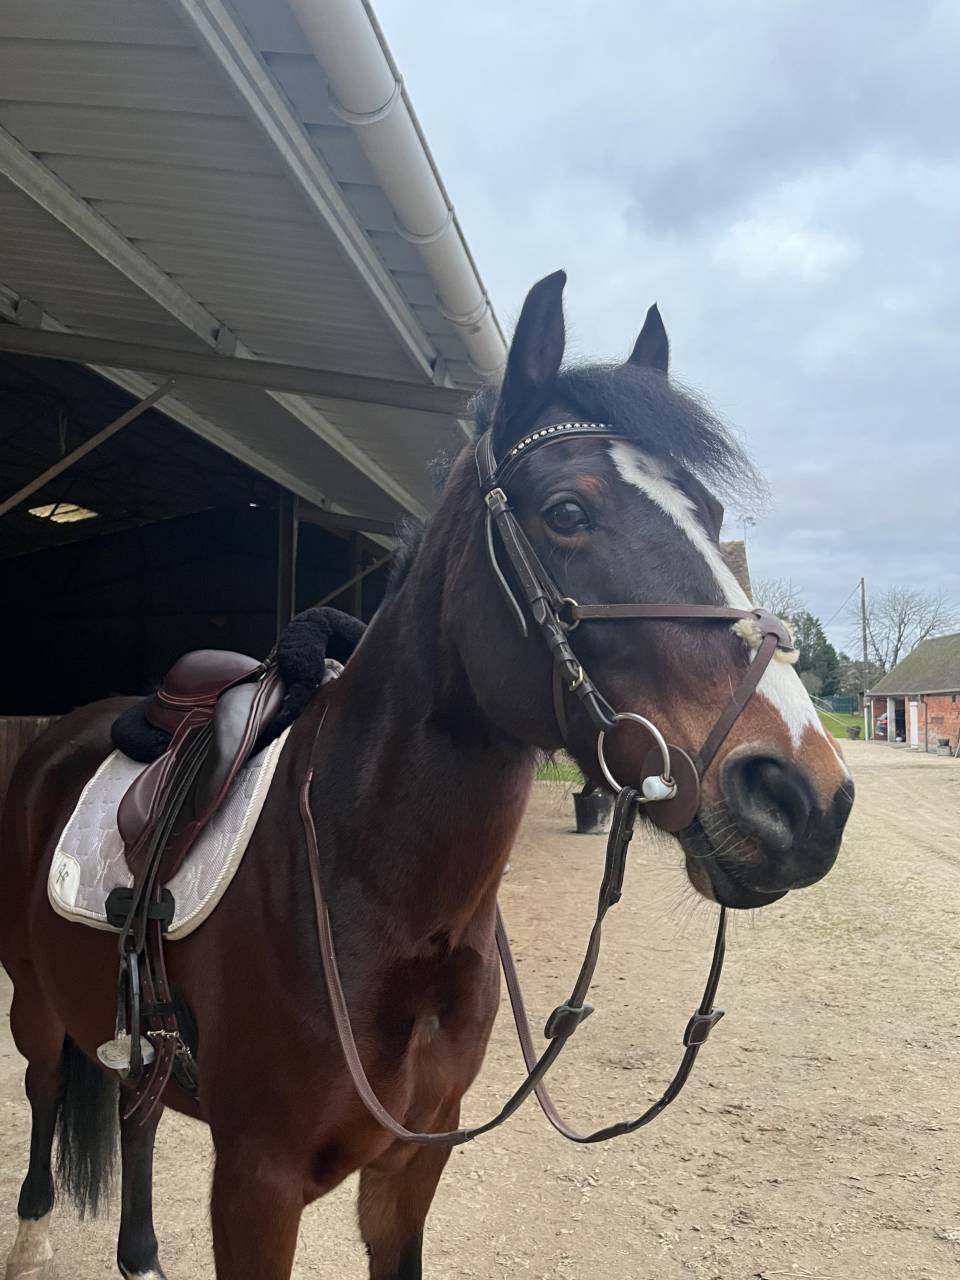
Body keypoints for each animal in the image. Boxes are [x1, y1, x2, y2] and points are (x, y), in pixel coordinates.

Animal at [0, 271, 853, 1280]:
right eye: (568, 512)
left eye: (711, 519)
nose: (802, 796)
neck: (371, 891)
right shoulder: (255, 1183)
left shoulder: (412, 1166)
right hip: (34, 1003)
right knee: (45, 1096)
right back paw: (34, 1237)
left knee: (134, 1120)